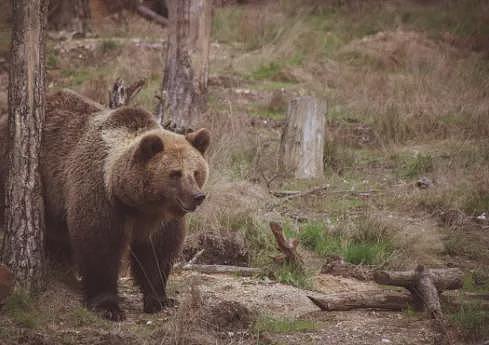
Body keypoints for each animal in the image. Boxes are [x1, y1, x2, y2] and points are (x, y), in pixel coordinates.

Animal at [0, 91, 210, 320]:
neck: (137, 202)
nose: (197, 196)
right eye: (175, 173)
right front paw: (108, 306)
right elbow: (99, 245)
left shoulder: (160, 219)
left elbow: (157, 252)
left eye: (196, 172)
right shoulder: (100, 195)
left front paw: (159, 299)